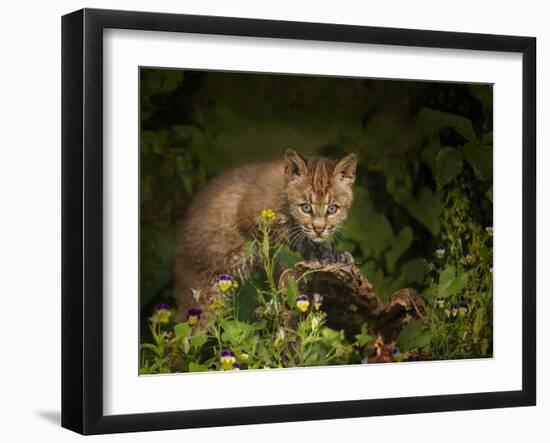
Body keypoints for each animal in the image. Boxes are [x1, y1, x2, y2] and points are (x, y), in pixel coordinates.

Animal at [175, 150, 360, 320]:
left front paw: (334, 254)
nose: (319, 229)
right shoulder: (248, 216)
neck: (284, 193)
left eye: (332, 209)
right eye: (306, 208)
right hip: (206, 294)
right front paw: (322, 253)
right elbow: (294, 233)